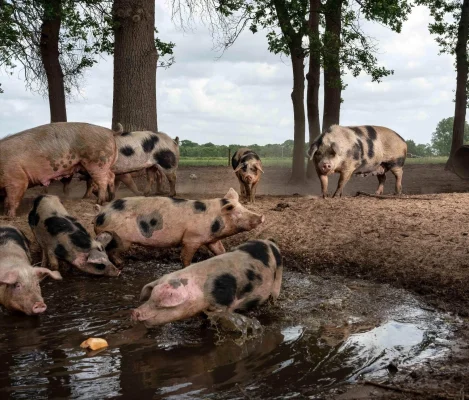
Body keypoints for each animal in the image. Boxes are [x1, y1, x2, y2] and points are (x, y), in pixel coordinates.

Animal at [93, 188, 265, 267]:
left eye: (244, 207)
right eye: (238, 212)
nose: (261, 217)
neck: (213, 220)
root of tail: (101, 212)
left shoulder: (212, 239)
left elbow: (220, 250)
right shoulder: (191, 238)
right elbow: (186, 257)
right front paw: (187, 266)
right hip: (120, 238)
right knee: (111, 251)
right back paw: (121, 264)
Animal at [131, 239, 283, 327]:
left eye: (159, 304)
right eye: (150, 297)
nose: (134, 312)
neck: (201, 290)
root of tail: (269, 241)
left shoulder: (224, 302)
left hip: (278, 274)